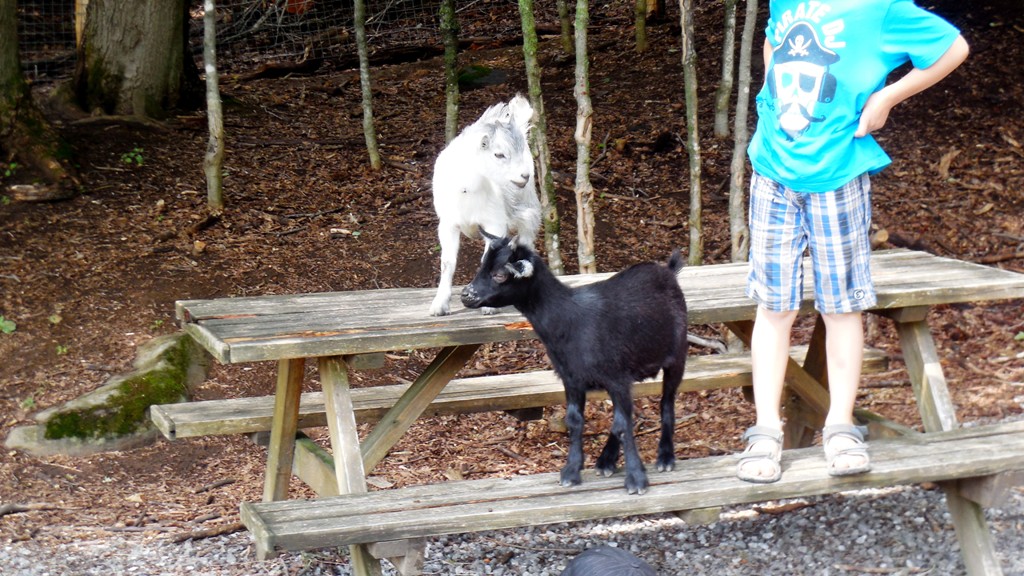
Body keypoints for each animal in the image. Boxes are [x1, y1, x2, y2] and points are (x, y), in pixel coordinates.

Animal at [429, 94, 541, 316]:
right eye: (499, 154)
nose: (524, 175)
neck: (466, 191)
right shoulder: (447, 224)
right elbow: (447, 262)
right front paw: (439, 305)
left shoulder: (494, 223)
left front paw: (489, 305)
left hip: (526, 206)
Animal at [461, 232, 688, 494]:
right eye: (481, 267)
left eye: (499, 274)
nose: (466, 295)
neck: (570, 320)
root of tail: (668, 271)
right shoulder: (572, 378)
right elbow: (576, 421)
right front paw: (571, 471)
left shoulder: (617, 377)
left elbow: (623, 425)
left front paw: (636, 479)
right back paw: (606, 460)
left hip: (677, 355)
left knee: (665, 403)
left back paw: (665, 457)